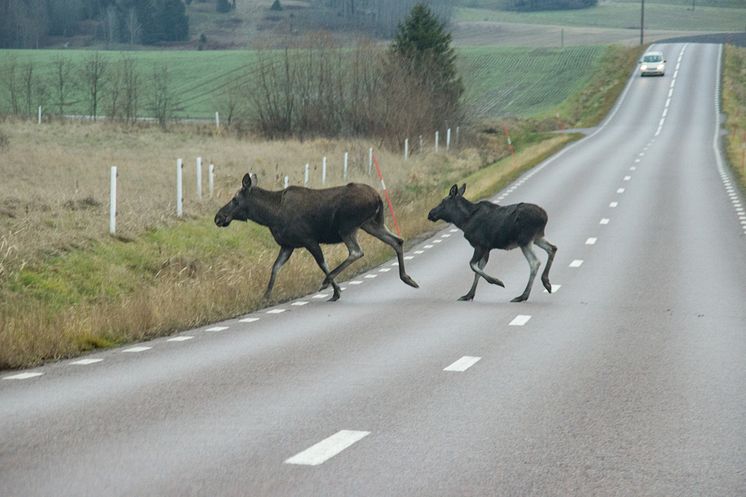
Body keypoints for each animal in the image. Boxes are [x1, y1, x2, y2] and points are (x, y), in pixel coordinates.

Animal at [214, 172, 418, 300]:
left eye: (234, 199)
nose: (218, 217)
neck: (270, 216)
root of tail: (378, 197)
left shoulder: (309, 240)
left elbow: (322, 264)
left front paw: (336, 290)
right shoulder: (288, 245)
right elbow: (275, 267)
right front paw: (265, 297)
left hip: (347, 226)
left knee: (356, 251)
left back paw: (326, 282)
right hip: (372, 223)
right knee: (397, 240)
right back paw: (408, 278)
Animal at [428, 183, 556, 302]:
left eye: (443, 202)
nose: (430, 213)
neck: (463, 221)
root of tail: (545, 216)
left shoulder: (480, 245)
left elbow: (472, 265)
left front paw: (497, 281)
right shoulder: (487, 249)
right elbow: (478, 270)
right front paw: (468, 295)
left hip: (524, 240)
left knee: (535, 262)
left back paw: (523, 296)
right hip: (536, 237)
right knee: (552, 248)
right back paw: (546, 283)